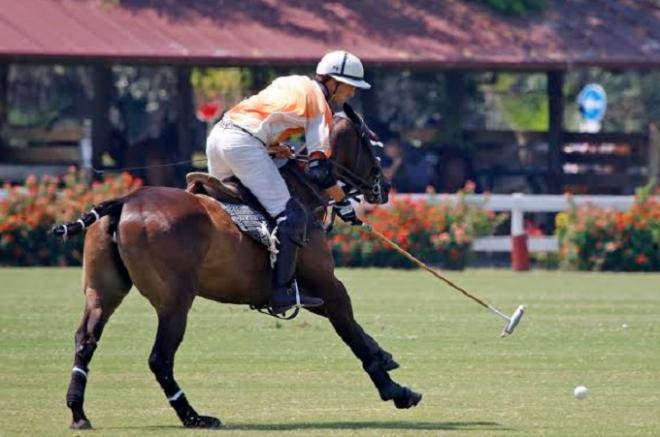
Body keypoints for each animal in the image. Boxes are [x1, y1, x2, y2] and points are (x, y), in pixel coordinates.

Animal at [55, 107, 418, 428]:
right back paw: (195, 417)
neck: (302, 190)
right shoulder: (327, 284)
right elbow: (351, 330)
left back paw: (78, 412)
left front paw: (386, 358)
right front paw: (396, 390)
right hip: (175, 301)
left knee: (85, 339)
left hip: (103, 291)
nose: (385, 187)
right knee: (159, 358)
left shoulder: (304, 291)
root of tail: (124, 201)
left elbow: (351, 326)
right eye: (373, 144)